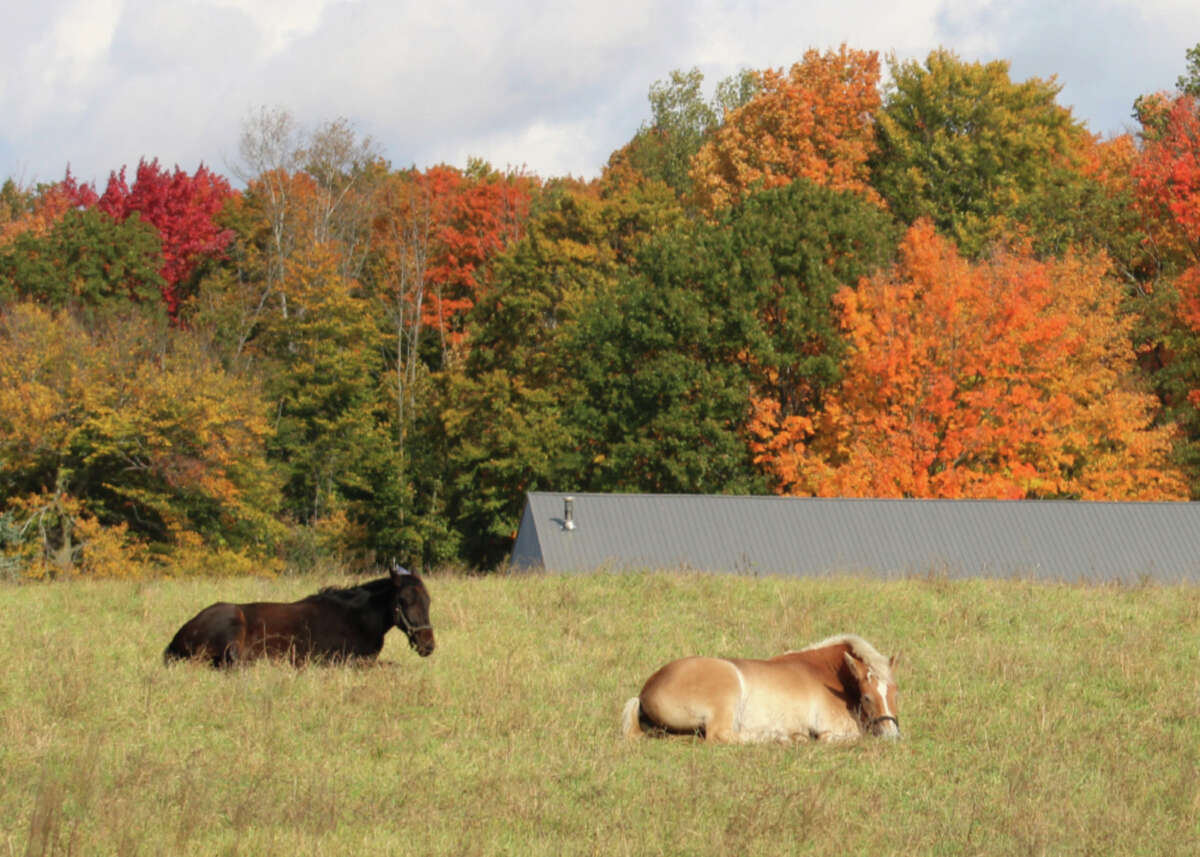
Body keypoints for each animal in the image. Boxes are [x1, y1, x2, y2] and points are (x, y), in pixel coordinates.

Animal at [163, 564, 435, 667]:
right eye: (403, 601)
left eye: (428, 601)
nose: (428, 645)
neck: (358, 619)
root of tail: (175, 641)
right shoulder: (342, 660)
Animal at [621, 633, 900, 743]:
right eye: (867, 697)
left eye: (895, 693)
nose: (892, 736)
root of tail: (646, 690)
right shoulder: (832, 729)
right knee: (721, 736)